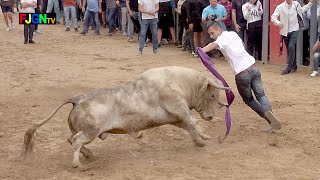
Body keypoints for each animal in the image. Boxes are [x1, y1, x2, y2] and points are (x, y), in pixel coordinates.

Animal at [21, 65, 228, 167]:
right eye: (212, 95)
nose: (211, 117)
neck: (181, 82)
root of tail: (79, 98)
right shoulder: (178, 106)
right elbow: (192, 121)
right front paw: (206, 135)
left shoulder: (175, 117)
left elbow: (189, 126)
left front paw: (200, 141)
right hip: (91, 131)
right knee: (77, 140)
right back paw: (78, 164)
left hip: (85, 131)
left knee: (70, 138)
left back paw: (89, 156)